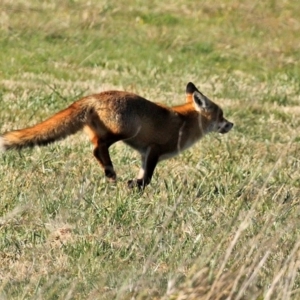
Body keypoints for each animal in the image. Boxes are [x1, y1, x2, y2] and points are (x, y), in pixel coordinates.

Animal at [0, 82, 233, 189]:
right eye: (221, 115)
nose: (231, 124)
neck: (185, 123)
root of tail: (94, 96)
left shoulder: (145, 154)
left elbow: (143, 174)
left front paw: (135, 185)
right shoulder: (154, 149)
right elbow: (147, 177)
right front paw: (137, 187)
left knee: (96, 148)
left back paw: (109, 173)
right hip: (126, 131)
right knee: (98, 147)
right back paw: (111, 173)